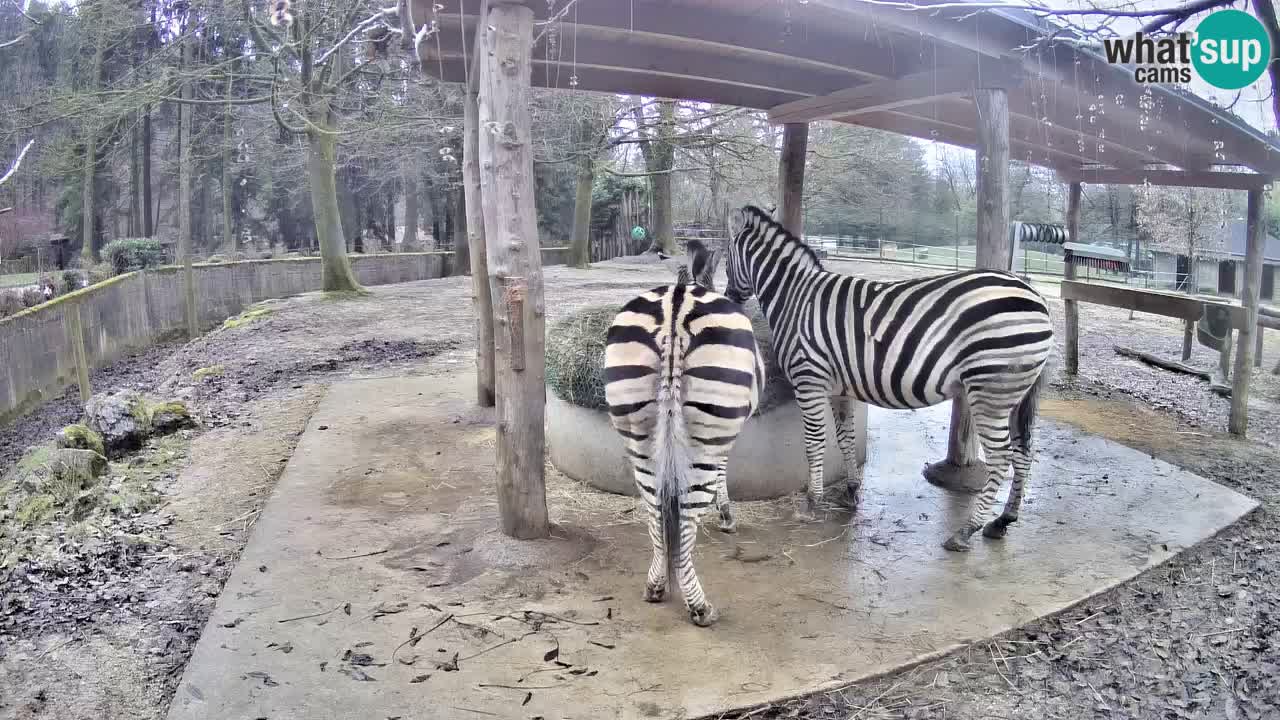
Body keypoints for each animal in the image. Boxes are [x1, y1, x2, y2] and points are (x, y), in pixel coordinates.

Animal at [604, 244, 762, 622]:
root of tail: (675, 306)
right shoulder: (725, 434)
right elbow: (721, 473)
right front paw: (726, 516)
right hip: (706, 429)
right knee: (688, 509)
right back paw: (699, 606)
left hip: (637, 429)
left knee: (654, 503)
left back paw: (656, 585)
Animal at [727, 204, 1054, 550]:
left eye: (726, 252)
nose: (730, 296)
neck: (795, 298)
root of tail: (1036, 296)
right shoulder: (839, 388)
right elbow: (845, 438)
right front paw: (852, 492)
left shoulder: (809, 379)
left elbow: (815, 442)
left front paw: (811, 503)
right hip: (1016, 394)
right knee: (1024, 452)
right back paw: (1003, 520)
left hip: (990, 390)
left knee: (1002, 456)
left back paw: (966, 530)